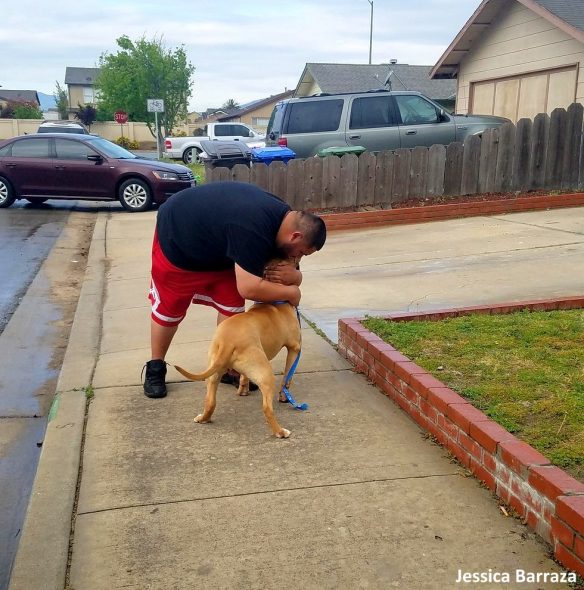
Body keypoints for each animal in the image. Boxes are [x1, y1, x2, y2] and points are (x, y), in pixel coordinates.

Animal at [173, 302, 302, 438]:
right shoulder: (294, 349)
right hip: (266, 375)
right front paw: (284, 397)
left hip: (214, 373)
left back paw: (203, 418)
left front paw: (243, 390)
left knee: (210, 402)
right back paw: (280, 431)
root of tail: (227, 342)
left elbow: (244, 377)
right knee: (267, 409)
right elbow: (287, 378)